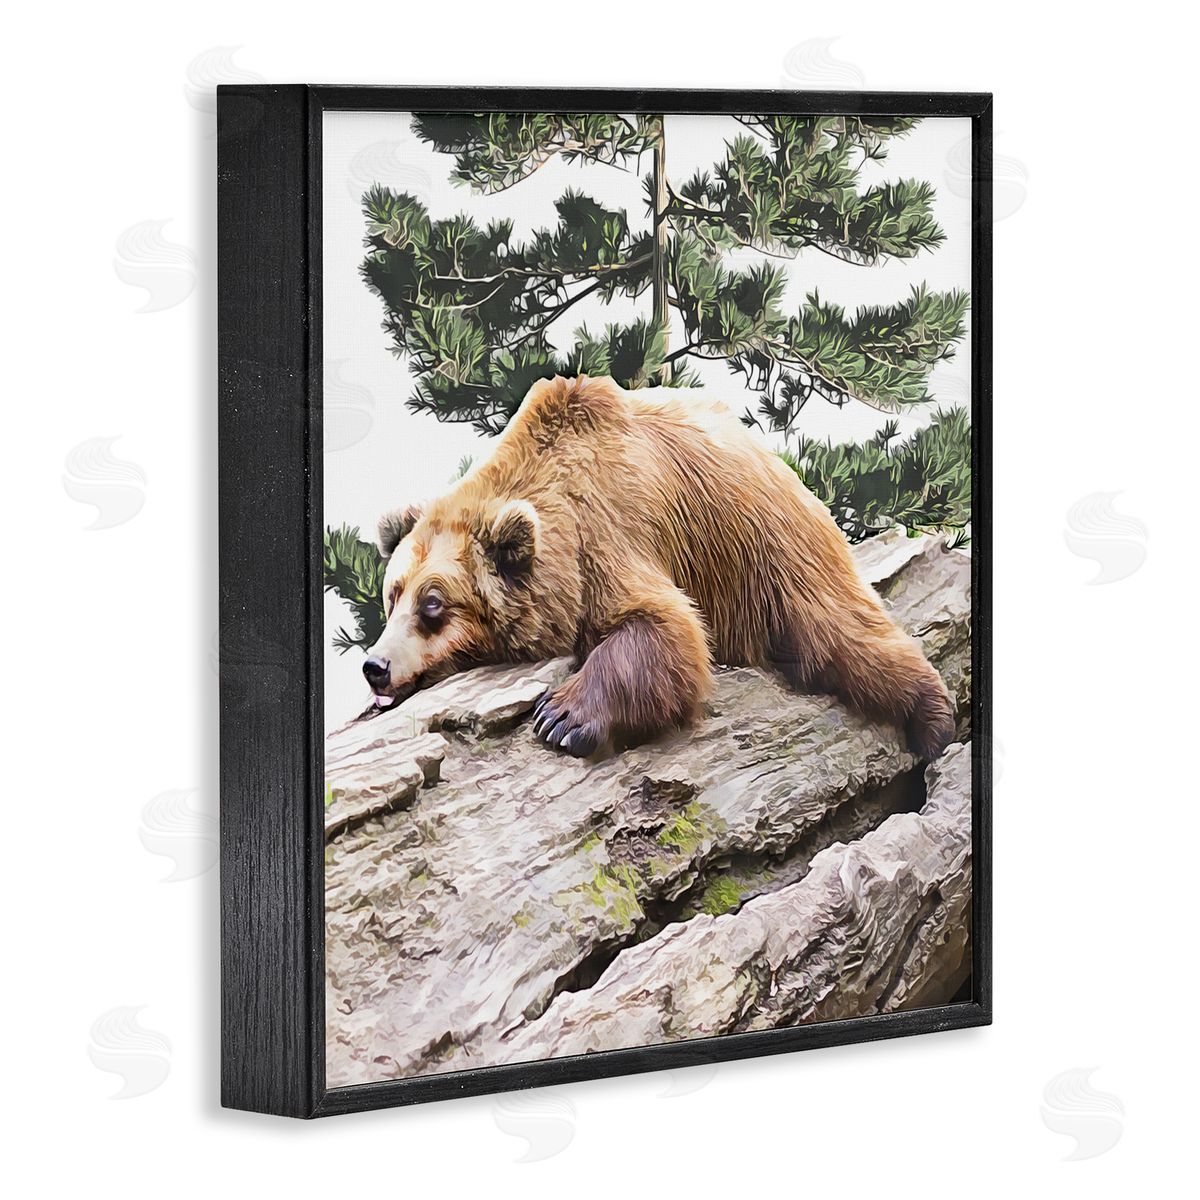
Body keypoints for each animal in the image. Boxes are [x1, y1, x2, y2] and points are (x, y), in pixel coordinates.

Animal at [362, 374, 955, 760]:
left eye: (433, 604)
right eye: (393, 595)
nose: (376, 665)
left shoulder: (608, 528)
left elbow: (664, 628)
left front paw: (561, 717)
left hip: (769, 545)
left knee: (841, 633)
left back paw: (934, 719)